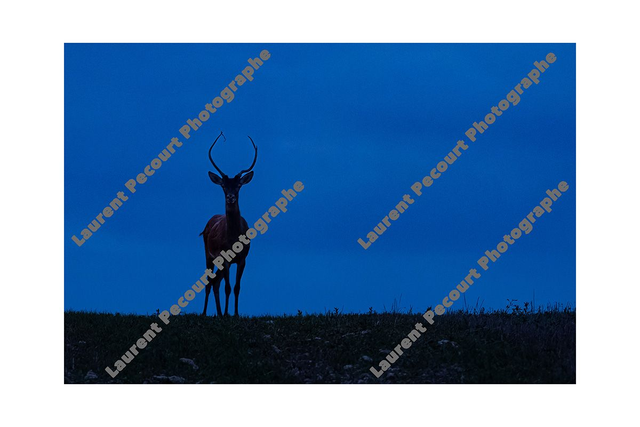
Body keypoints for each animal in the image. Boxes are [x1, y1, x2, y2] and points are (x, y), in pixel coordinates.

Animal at [200, 132, 257, 317]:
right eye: (223, 186)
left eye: (239, 185)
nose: (231, 197)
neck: (233, 238)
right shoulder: (224, 256)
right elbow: (228, 287)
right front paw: (227, 314)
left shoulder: (243, 258)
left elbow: (237, 287)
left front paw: (236, 313)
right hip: (208, 255)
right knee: (209, 282)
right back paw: (206, 313)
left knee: (215, 282)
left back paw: (218, 313)